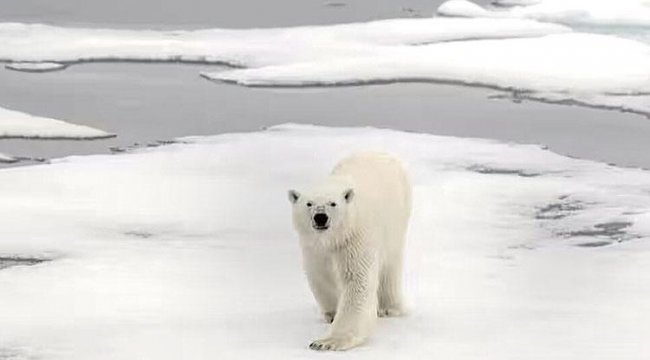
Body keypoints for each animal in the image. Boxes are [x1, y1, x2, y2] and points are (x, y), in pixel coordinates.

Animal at [288, 151, 410, 348]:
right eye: (309, 203)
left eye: (333, 203)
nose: (320, 217)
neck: (334, 238)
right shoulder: (314, 247)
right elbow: (320, 275)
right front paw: (331, 314)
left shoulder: (355, 238)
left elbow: (357, 281)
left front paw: (326, 342)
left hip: (397, 220)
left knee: (390, 263)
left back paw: (389, 308)